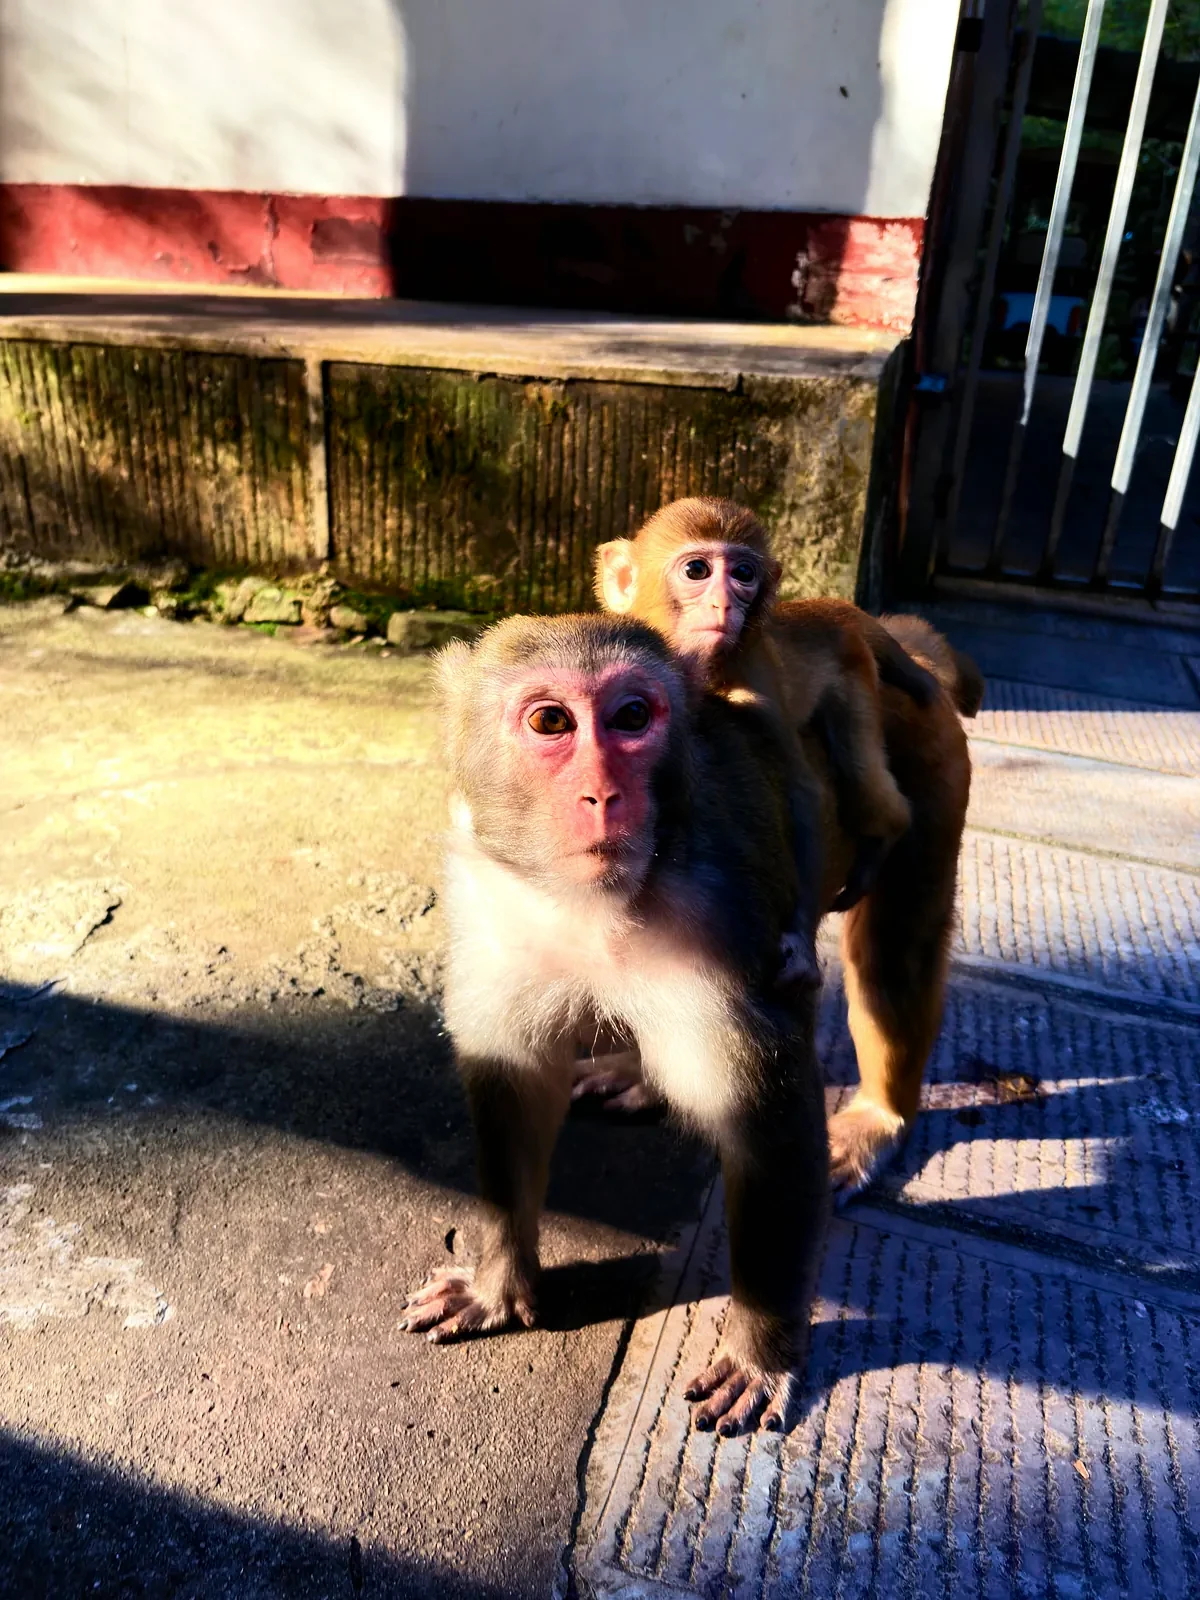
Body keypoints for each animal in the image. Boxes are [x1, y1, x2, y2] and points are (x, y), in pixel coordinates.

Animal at [401, 613, 830, 1434]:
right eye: (551, 722)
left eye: (632, 717)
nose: (603, 795)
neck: (592, 911)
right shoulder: (493, 906)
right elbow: (517, 1086)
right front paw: (498, 1281)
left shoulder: (716, 923)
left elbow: (768, 1124)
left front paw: (759, 1352)